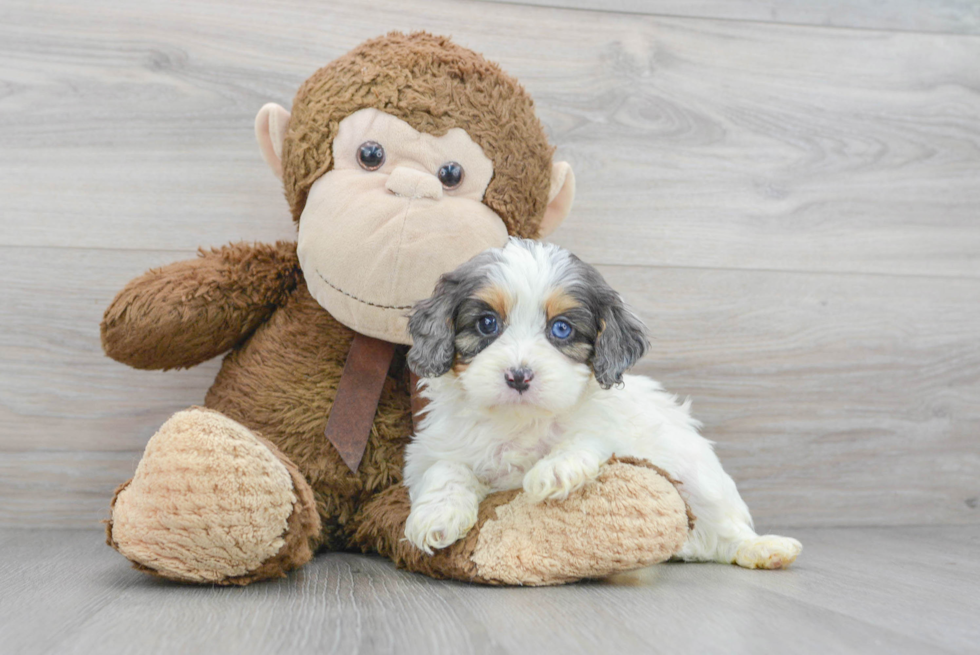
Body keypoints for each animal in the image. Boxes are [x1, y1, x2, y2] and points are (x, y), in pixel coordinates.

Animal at [402, 240, 800, 568]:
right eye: (487, 324)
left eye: (561, 329)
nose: (518, 376)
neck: (521, 420)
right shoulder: (431, 451)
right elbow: (446, 469)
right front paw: (436, 516)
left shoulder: (617, 432)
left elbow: (588, 436)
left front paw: (555, 469)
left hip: (700, 478)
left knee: (725, 533)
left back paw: (763, 548)